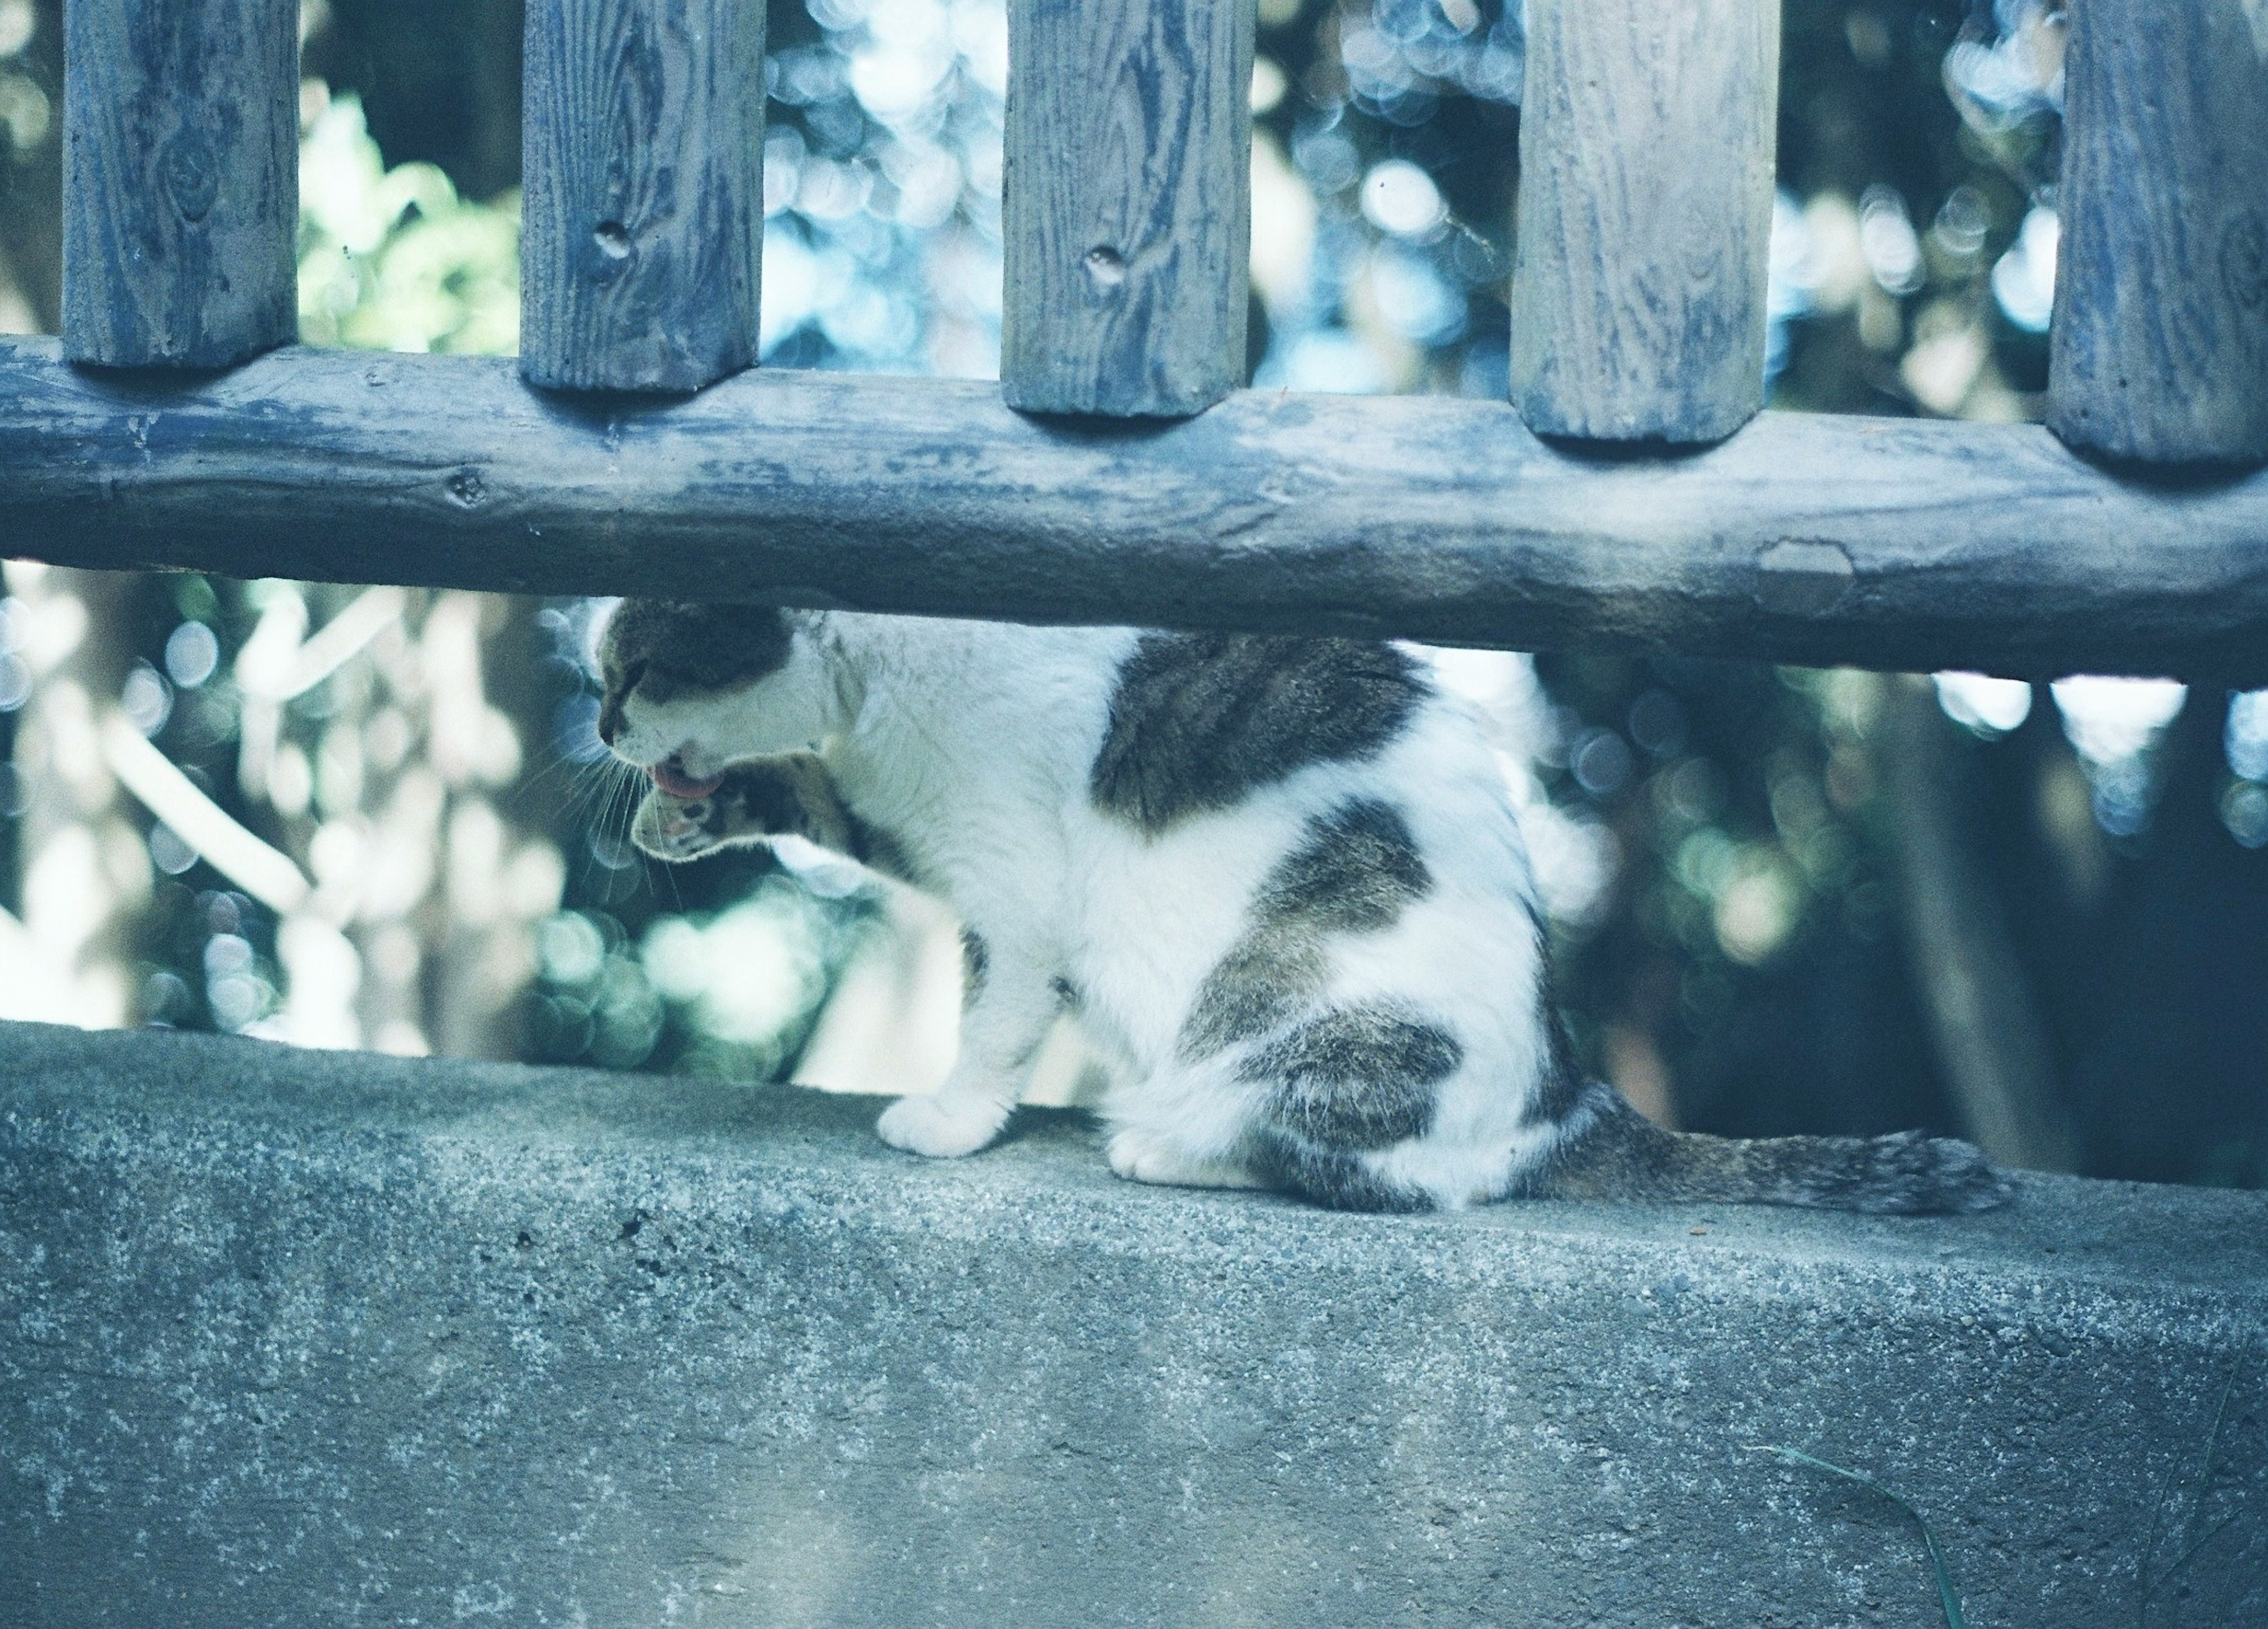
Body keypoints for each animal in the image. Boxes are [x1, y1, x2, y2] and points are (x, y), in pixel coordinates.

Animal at [598, 599, 2005, 1216]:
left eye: (637, 667)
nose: (603, 726)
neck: (885, 671)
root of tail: (1568, 1089)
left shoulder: (1019, 890)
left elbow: (994, 1014)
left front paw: (947, 1116)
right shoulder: (903, 813)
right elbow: (821, 796)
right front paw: (687, 816)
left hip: (1298, 1016)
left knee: (1368, 1167)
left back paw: (1160, 1139)